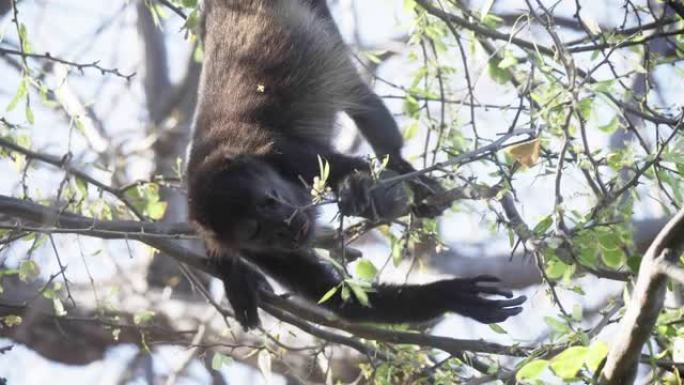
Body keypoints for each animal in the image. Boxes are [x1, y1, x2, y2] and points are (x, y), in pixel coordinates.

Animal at [184, 0, 528, 330]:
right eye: (256, 231)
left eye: (270, 200)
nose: (288, 225)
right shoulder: (254, 250)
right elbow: (341, 298)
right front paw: (453, 296)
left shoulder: (284, 151)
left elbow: (353, 169)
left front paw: (355, 186)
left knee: (356, 90)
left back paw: (407, 173)